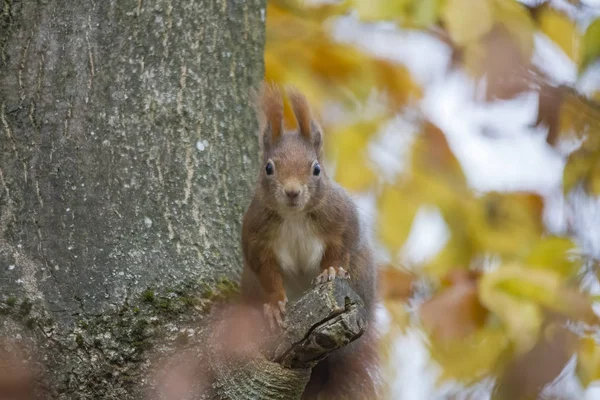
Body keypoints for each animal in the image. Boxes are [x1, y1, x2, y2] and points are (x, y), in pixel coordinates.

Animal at [240, 83, 378, 398]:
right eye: (268, 168)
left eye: (315, 168)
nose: (292, 192)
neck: (294, 215)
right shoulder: (256, 239)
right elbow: (266, 272)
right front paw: (275, 304)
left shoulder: (341, 219)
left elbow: (340, 247)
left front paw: (330, 271)